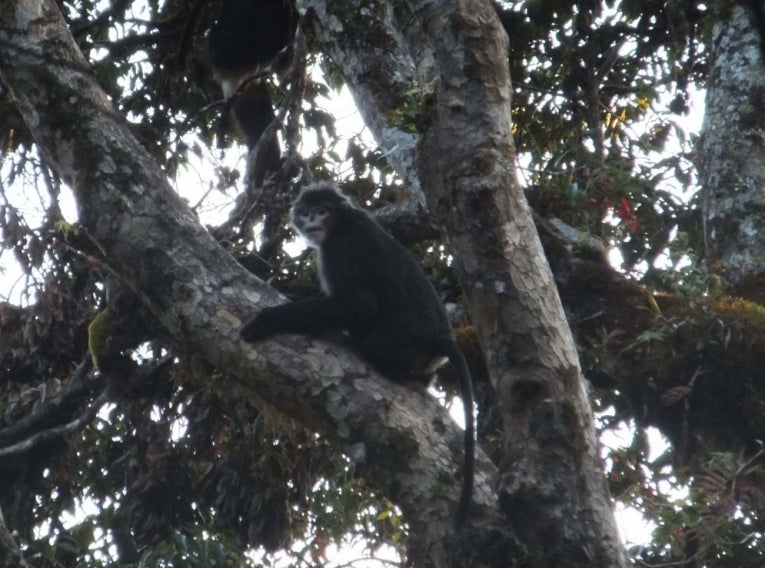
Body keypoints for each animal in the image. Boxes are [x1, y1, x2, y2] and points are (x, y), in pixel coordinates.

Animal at [240, 183, 475, 528]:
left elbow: (360, 304)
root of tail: (438, 338)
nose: (312, 220)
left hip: (393, 341)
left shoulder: (341, 247)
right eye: (307, 212)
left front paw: (271, 319)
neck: (341, 221)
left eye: (322, 210)